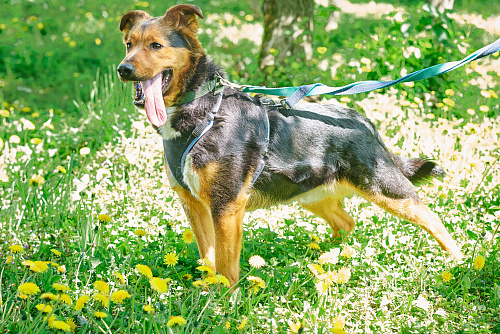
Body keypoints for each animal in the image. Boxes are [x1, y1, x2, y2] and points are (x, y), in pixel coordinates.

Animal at [118, 3, 464, 286]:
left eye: (156, 45)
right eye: (128, 45)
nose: (123, 69)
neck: (204, 108)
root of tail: (363, 121)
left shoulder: (225, 206)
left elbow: (226, 265)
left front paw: (222, 304)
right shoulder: (194, 204)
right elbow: (208, 257)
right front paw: (206, 291)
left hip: (387, 188)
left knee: (433, 219)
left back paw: (458, 262)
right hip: (312, 194)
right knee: (346, 223)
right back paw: (326, 257)